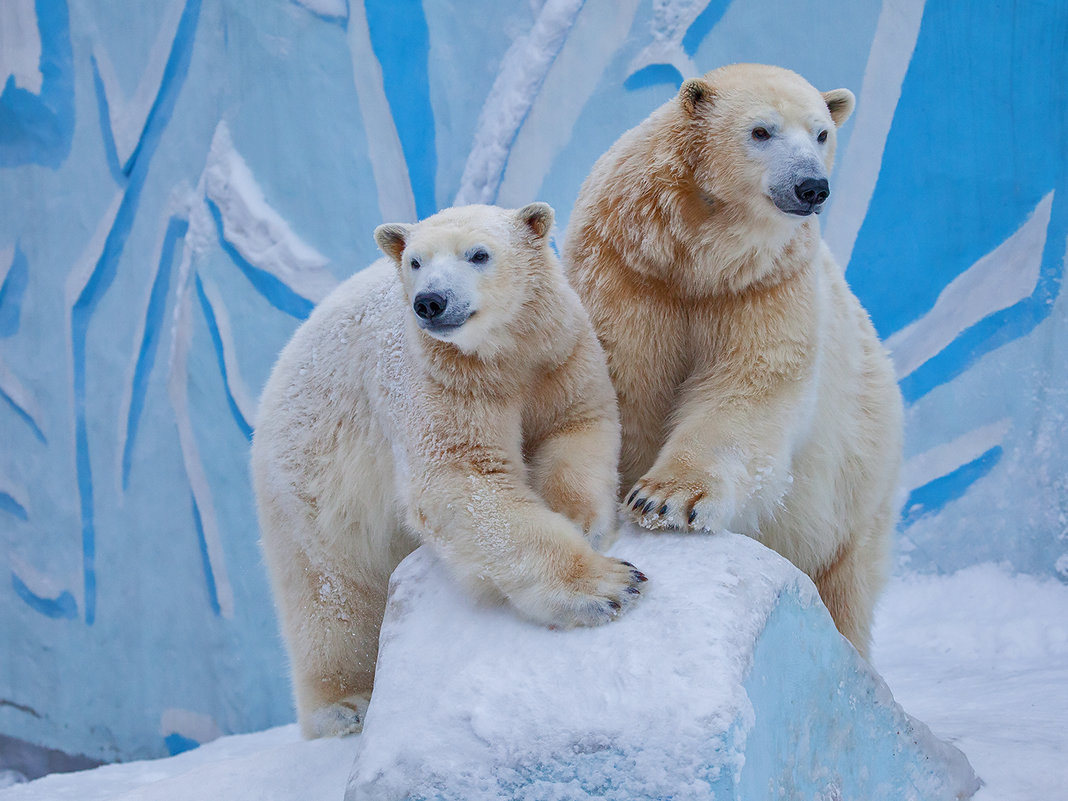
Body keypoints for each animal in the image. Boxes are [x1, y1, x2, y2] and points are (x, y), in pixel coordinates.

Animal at [254, 201, 645, 739]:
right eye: (415, 261)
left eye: (478, 254)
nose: (431, 302)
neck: (499, 354)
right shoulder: (435, 377)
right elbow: (464, 479)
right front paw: (609, 585)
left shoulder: (558, 354)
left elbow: (576, 425)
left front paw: (581, 520)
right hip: (307, 482)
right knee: (329, 592)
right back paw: (345, 706)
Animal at [563, 64, 905, 657]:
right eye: (761, 131)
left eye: (821, 133)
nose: (811, 186)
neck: (698, 258)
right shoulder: (628, 272)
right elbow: (622, 384)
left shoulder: (764, 287)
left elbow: (746, 391)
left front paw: (664, 500)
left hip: (857, 487)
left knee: (846, 586)